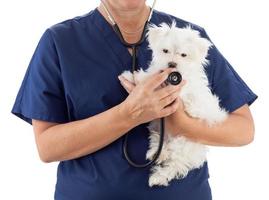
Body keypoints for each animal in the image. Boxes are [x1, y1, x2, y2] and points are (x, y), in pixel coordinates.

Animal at [119, 20, 226, 188]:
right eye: (165, 50)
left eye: (183, 55)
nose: (172, 63)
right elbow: (150, 77)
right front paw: (132, 77)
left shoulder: (184, 90)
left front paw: (136, 78)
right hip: (158, 129)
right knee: (159, 142)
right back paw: (157, 153)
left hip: (184, 146)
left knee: (175, 164)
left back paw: (158, 177)